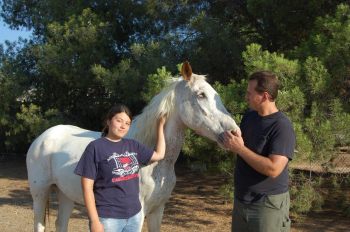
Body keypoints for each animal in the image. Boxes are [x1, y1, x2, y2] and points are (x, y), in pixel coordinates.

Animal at [26, 62, 241, 232]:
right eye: (201, 94)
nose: (235, 133)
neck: (155, 163)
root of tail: (43, 138)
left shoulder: (157, 210)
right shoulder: (138, 214)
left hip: (65, 194)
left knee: (61, 224)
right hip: (40, 193)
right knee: (39, 224)